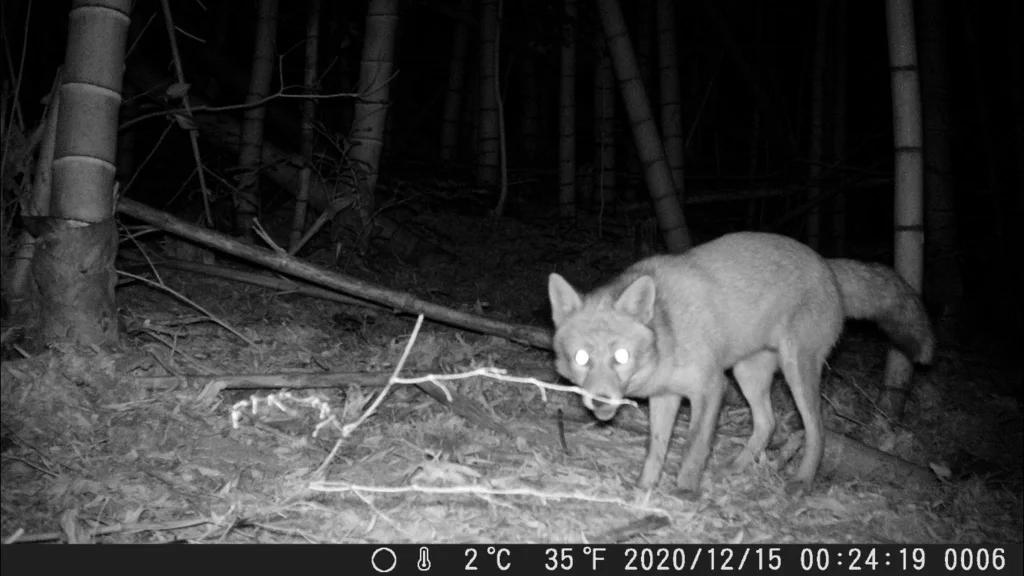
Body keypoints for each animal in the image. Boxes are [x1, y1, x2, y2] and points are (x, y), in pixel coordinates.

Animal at [548, 231, 934, 497]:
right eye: (582, 358)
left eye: (621, 357)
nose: (600, 400)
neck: (669, 334)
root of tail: (826, 263)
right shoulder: (666, 396)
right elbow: (654, 449)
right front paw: (645, 487)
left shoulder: (710, 387)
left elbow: (694, 446)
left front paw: (685, 490)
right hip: (748, 374)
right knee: (768, 423)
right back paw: (736, 467)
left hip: (796, 372)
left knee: (816, 431)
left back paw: (802, 481)